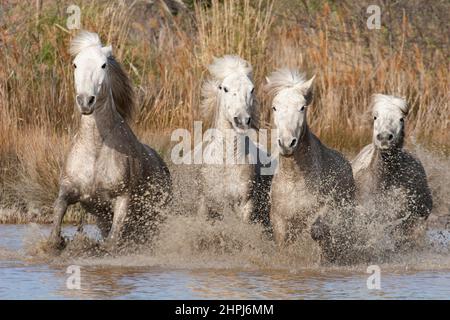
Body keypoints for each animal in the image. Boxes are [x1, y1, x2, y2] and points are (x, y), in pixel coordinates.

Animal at [266, 69, 356, 264]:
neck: (295, 180)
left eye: (302, 107)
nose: (287, 143)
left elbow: (318, 231)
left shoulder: (324, 210)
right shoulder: (280, 221)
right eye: (274, 107)